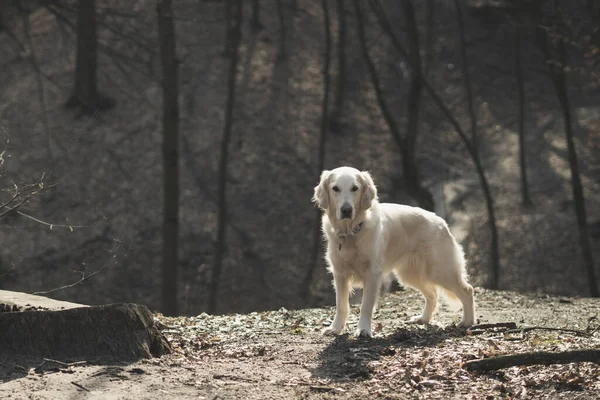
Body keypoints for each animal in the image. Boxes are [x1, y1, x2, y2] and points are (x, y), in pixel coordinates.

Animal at [312, 166, 476, 338]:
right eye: (335, 188)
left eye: (355, 188)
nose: (346, 210)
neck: (351, 233)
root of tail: (442, 222)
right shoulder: (340, 274)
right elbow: (341, 305)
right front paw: (335, 328)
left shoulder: (372, 274)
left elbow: (365, 306)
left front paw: (363, 330)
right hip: (410, 274)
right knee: (432, 293)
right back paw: (423, 318)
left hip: (440, 270)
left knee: (467, 290)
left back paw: (467, 322)